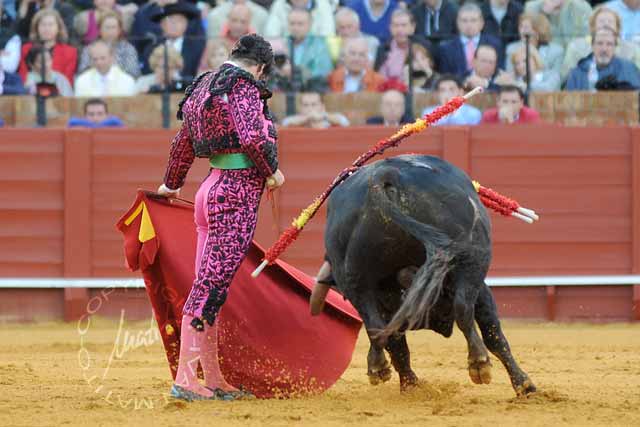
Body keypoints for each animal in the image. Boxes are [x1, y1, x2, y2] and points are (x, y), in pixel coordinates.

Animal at [322, 155, 536, 398]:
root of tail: (386, 174)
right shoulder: (480, 287)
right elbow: (493, 333)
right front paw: (524, 385)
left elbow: (396, 341)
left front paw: (409, 385)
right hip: (474, 257)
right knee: (463, 309)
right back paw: (479, 363)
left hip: (354, 279)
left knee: (376, 328)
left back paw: (383, 370)